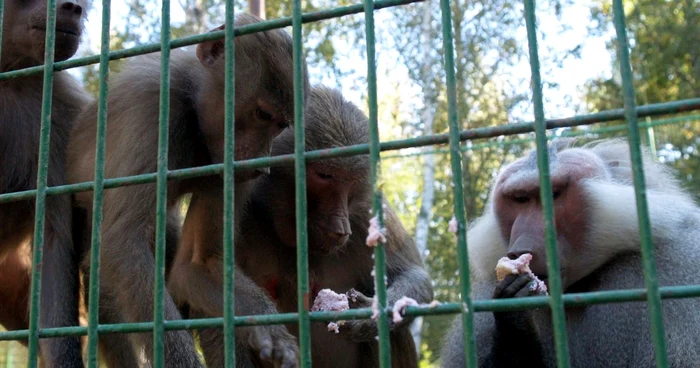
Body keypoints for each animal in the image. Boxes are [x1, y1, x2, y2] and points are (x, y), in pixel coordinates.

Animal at [68, 12, 306, 368]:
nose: (261, 166)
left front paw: (266, 323)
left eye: (280, 124)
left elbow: (197, 265)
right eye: (263, 114)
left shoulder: (227, 166)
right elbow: (122, 244)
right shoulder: (154, 109)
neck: (194, 110)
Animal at [230, 85, 432, 366]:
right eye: (325, 176)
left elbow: (413, 274)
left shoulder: (365, 211)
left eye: (352, 181)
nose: (341, 229)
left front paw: (372, 315)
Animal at [442, 139, 700, 368]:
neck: (578, 288)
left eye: (554, 194)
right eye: (520, 199)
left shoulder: (677, 269)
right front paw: (514, 320)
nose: (520, 249)